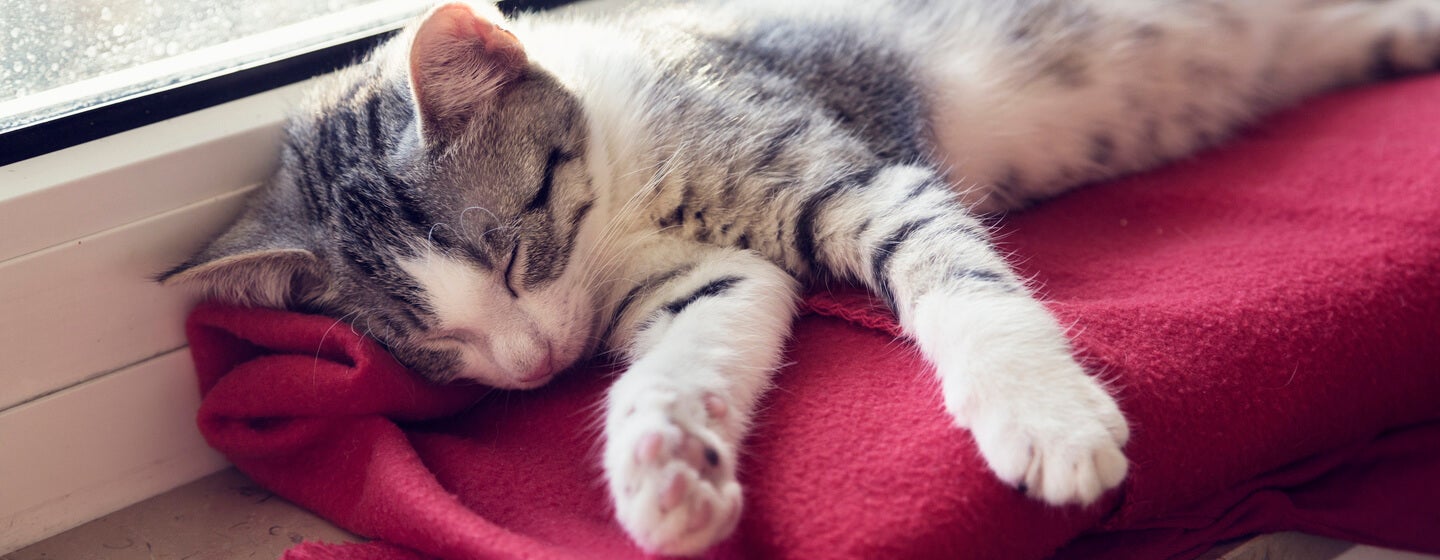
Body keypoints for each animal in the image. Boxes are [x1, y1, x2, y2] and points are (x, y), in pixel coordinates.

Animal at [157, 0, 1440, 549]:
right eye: (433, 343)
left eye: (515, 251)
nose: (528, 366)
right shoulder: (705, 283)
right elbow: (702, 334)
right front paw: (667, 472)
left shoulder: (853, 167)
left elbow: (960, 283)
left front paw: (1046, 419)